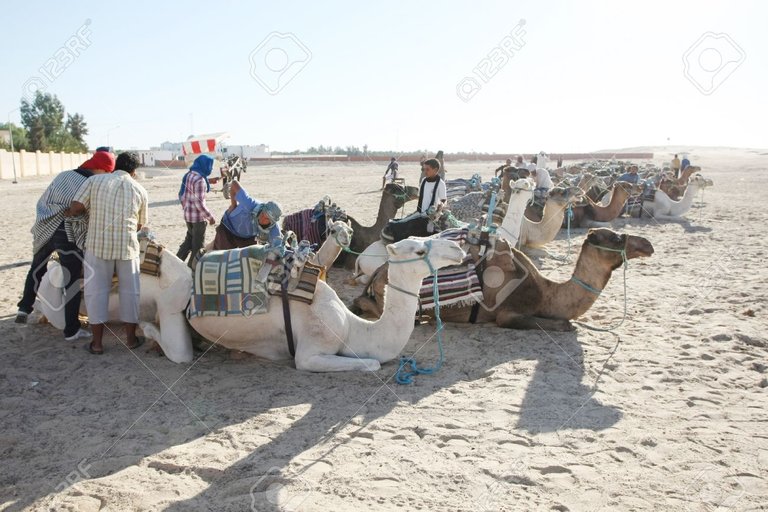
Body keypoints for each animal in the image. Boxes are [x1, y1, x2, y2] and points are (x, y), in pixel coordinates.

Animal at [352, 228, 652, 332]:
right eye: (617, 238)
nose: (647, 245)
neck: (545, 293)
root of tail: (380, 272)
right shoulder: (508, 312)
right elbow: (562, 324)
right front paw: (566, 325)